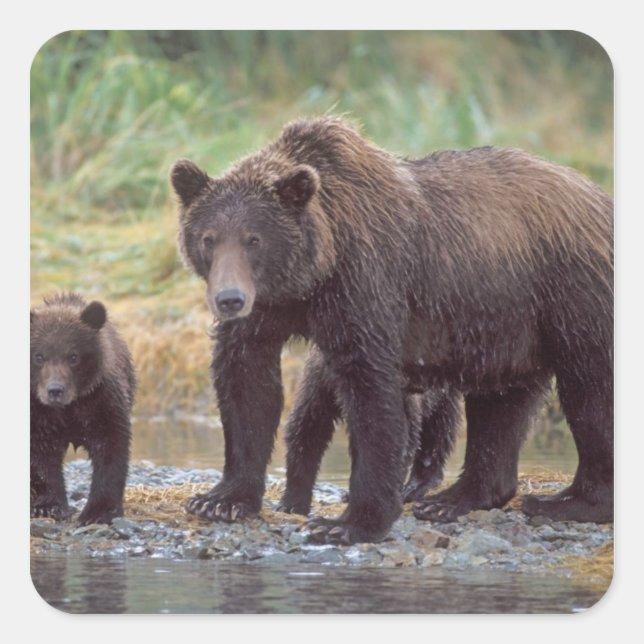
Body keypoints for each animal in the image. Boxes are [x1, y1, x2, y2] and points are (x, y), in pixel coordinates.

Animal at [30, 293, 136, 525]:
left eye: (73, 356)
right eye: (39, 356)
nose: (55, 390)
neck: (70, 406)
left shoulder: (100, 402)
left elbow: (111, 448)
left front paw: (99, 511)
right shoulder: (39, 411)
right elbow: (40, 455)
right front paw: (47, 507)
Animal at [171, 116, 613, 544]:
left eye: (254, 239)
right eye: (208, 238)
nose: (230, 299)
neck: (312, 278)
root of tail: (601, 197)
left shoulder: (365, 286)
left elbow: (370, 394)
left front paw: (349, 523)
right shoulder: (267, 311)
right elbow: (247, 384)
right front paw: (221, 500)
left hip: (572, 293)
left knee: (590, 391)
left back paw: (569, 503)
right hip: (507, 326)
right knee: (501, 403)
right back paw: (453, 500)